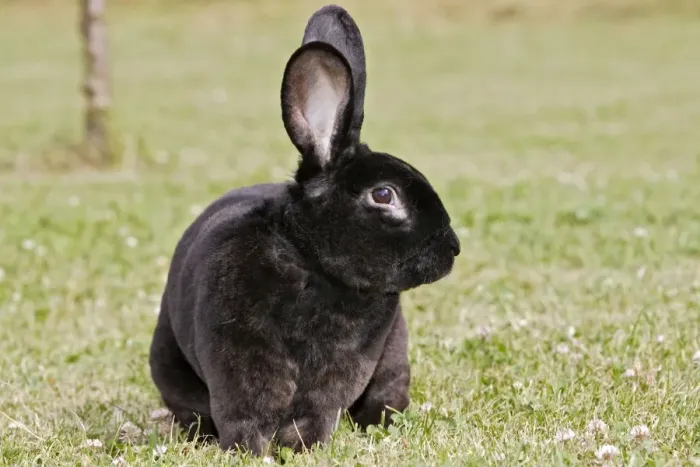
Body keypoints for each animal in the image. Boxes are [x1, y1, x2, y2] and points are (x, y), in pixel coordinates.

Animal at [148, 3, 460, 456]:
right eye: (384, 194)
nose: (452, 248)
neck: (313, 265)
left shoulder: (339, 376)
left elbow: (316, 414)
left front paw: (302, 450)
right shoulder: (239, 368)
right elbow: (246, 415)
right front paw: (249, 453)